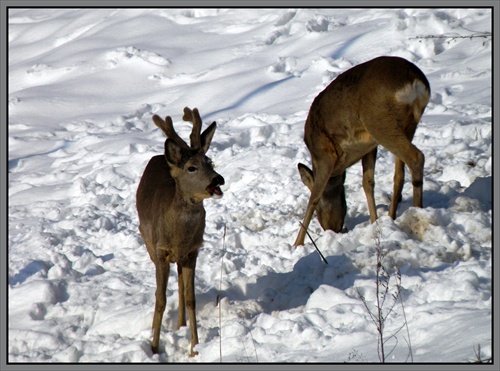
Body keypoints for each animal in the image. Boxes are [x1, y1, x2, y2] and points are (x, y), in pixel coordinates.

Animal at [135, 107, 225, 358]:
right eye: (191, 167)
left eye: (210, 161)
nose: (218, 179)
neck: (178, 236)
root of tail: (161, 156)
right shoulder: (161, 251)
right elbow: (160, 299)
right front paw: (154, 348)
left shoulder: (193, 251)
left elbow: (191, 298)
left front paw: (194, 348)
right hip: (147, 240)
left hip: (180, 257)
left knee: (181, 286)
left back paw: (181, 325)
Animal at [292, 56, 430, 248]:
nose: (332, 229)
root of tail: (415, 80)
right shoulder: (369, 147)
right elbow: (368, 183)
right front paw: (374, 223)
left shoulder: (325, 155)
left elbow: (313, 197)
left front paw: (297, 244)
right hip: (406, 126)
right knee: (400, 173)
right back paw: (391, 217)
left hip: (379, 122)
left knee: (416, 157)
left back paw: (417, 212)